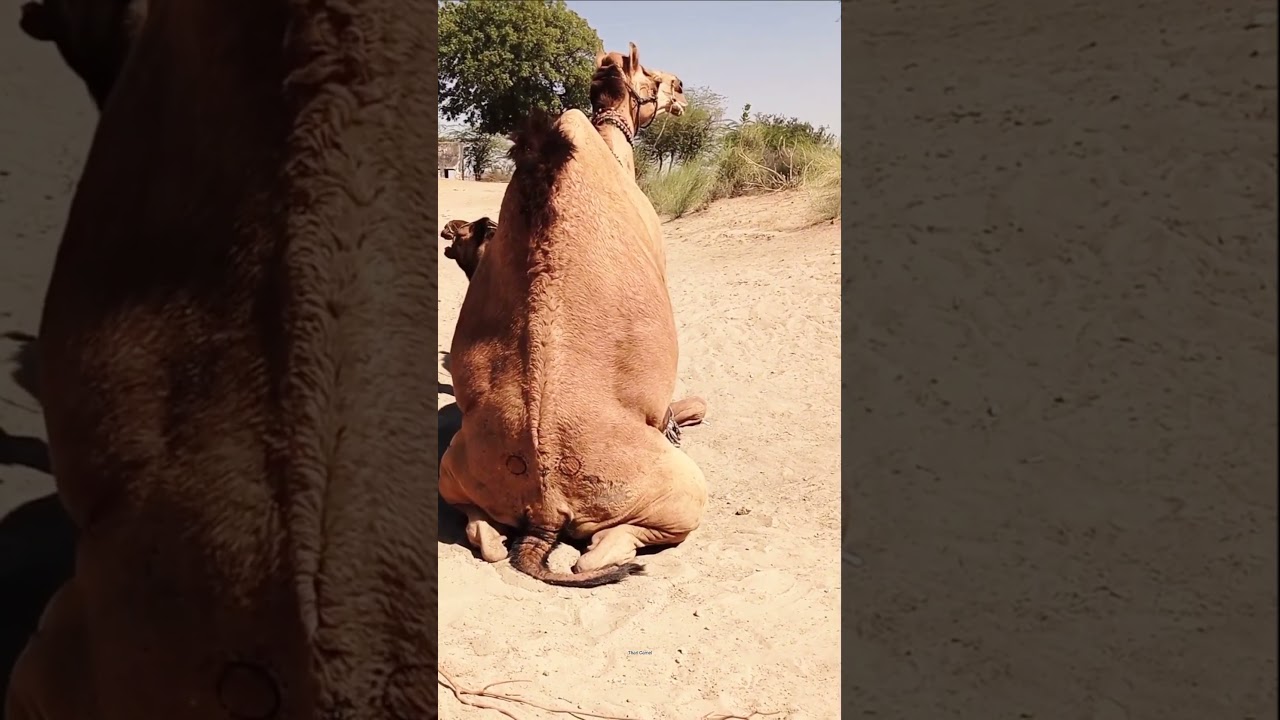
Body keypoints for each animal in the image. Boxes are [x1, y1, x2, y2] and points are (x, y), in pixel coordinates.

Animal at [440, 43, 708, 589]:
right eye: (653, 78)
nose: (681, 90)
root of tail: (544, 511)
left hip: (452, 463)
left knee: (483, 533)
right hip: (679, 490)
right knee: (599, 551)